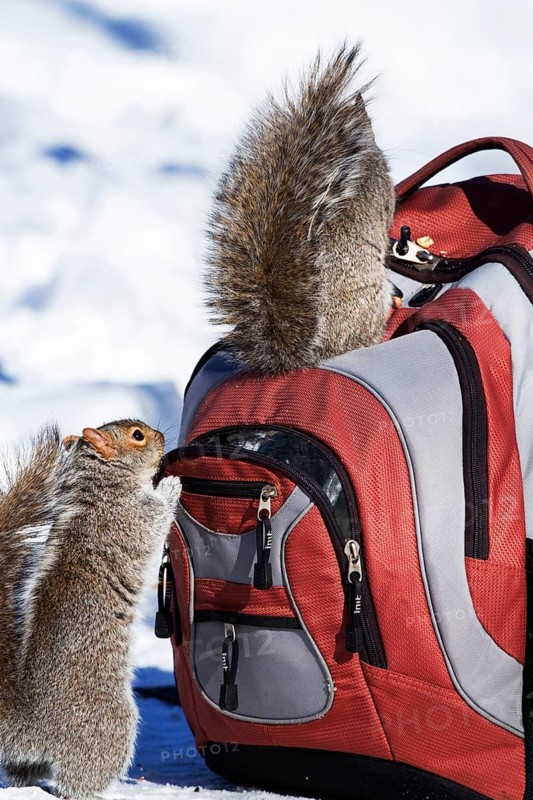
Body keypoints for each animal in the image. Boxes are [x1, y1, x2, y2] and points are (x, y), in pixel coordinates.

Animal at [0, 420, 181, 799]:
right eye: (137, 435)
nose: (161, 438)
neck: (100, 487)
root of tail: (27, 723)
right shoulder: (129, 519)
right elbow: (155, 517)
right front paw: (170, 485)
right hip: (107, 726)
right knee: (78, 781)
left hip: (28, 759)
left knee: (24, 770)